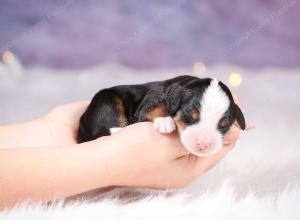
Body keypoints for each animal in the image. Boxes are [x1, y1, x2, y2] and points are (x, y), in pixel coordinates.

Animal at [76, 75, 245, 156]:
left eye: (224, 125)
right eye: (191, 115)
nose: (204, 144)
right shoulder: (148, 104)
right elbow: (156, 109)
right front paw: (165, 121)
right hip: (105, 101)